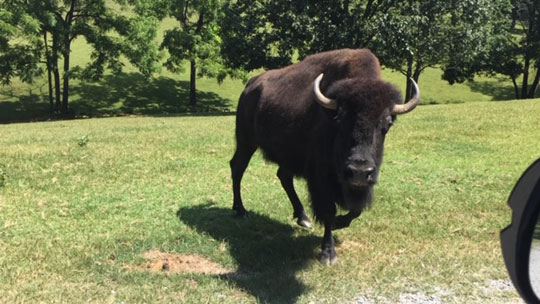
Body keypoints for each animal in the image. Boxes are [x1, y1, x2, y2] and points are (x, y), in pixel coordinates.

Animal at [230, 48, 420, 264]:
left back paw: (303, 218)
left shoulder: (362, 182)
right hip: (246, 142)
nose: (359, 171)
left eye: (387, 124)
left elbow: (355, 210)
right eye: (339, 118)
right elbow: (328, 211)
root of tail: (250, 87)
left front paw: (338, 224)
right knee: (238, 168)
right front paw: (328, 253)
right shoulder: (321, 179)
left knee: (283, 177)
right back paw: (241, 210)